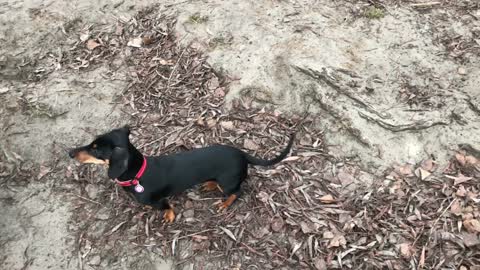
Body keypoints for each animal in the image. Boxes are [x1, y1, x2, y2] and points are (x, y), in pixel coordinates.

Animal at [69, 126, 294, 221]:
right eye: (91, 143)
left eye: (96, 150)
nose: (69, 152)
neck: (138, 174)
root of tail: (242, 154)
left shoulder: (159, 200)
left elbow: (167, 207)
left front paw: (169, 216)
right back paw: (209, 184)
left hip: (228, 182)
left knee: (237, 192)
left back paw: (225, 203)